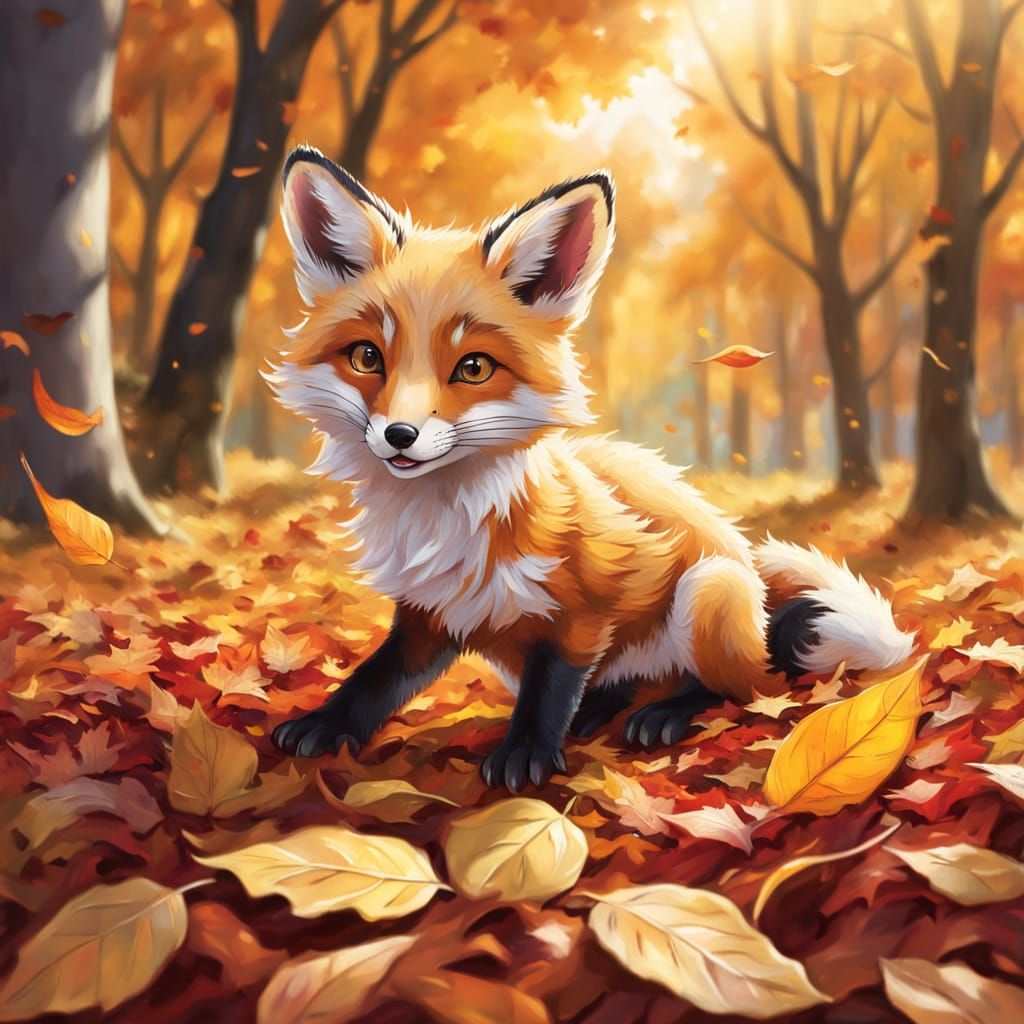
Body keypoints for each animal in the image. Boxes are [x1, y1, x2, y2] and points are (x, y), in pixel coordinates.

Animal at [265, 145, 916, 791]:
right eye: (366, 357)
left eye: (473, 368)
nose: (400, 436)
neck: (449, 522)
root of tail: (756, 590)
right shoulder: (430, 615)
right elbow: (375, 681)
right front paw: (327, 723)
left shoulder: (586, 609)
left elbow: (549, 691)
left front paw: (526, 754)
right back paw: (605, 709)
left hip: (710, 591)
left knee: (747, 686)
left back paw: (667, 712)